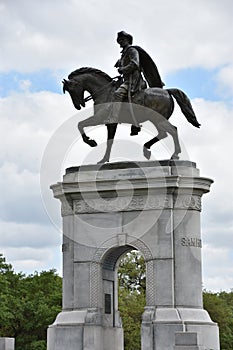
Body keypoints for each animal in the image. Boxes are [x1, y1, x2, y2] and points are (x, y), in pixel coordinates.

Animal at [62, 67, 200, 163]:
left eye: (71, 88)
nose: (78, 105)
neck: (105, 92)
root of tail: (167, 91)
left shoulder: (100, 118)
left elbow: (80, 124)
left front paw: (91, 142)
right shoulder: (111, 124)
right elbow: (109, 141)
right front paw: (104, 159)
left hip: (157, 119)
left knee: (172, 130)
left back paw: (175, 154)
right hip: (156, 120)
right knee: (163, 133)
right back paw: (146, 149)